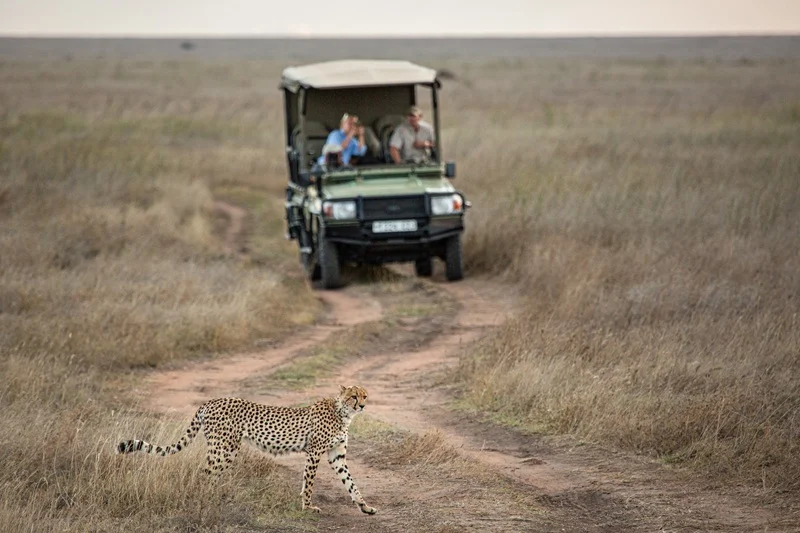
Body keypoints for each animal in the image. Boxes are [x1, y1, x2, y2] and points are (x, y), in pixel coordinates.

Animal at [116, 385, 376, 515]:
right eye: (353, 396)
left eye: (364, 396)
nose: (363, 406)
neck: (343, 413)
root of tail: (211, 401)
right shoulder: (314, 452)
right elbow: (310, 482)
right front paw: (308, 506)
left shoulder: (336, 456)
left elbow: (351, 483)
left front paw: (365, 507)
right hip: (224, 448)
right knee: (205, 474)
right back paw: (205, 502)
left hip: (224, 449)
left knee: (210, 475)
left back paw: (214, 500)